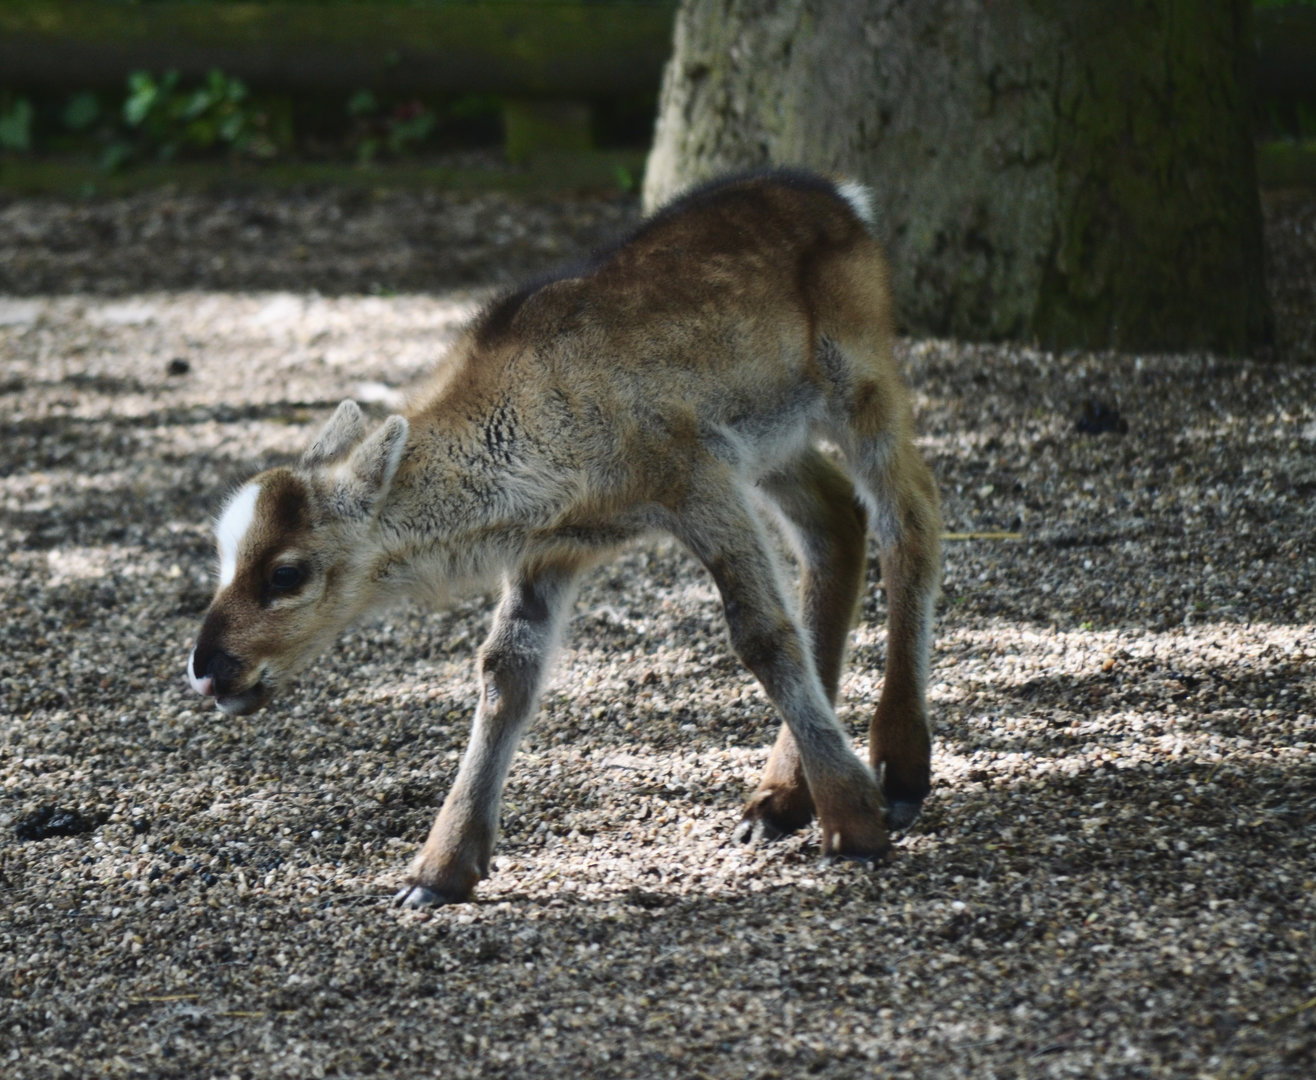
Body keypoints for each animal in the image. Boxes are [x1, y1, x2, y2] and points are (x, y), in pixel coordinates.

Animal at [185, 169, 942, 908]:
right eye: (221, 558)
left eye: (286, 573)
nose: (207, 665)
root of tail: (845, 199)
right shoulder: (550, 549)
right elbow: (506, 670)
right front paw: (438, 872)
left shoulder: (696, 476)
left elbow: (760, 634)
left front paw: (857, 826)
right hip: (776, 443)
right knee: (835, 520)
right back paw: (779, 801)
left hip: (859, 373)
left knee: (910, 514)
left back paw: (900, 773)